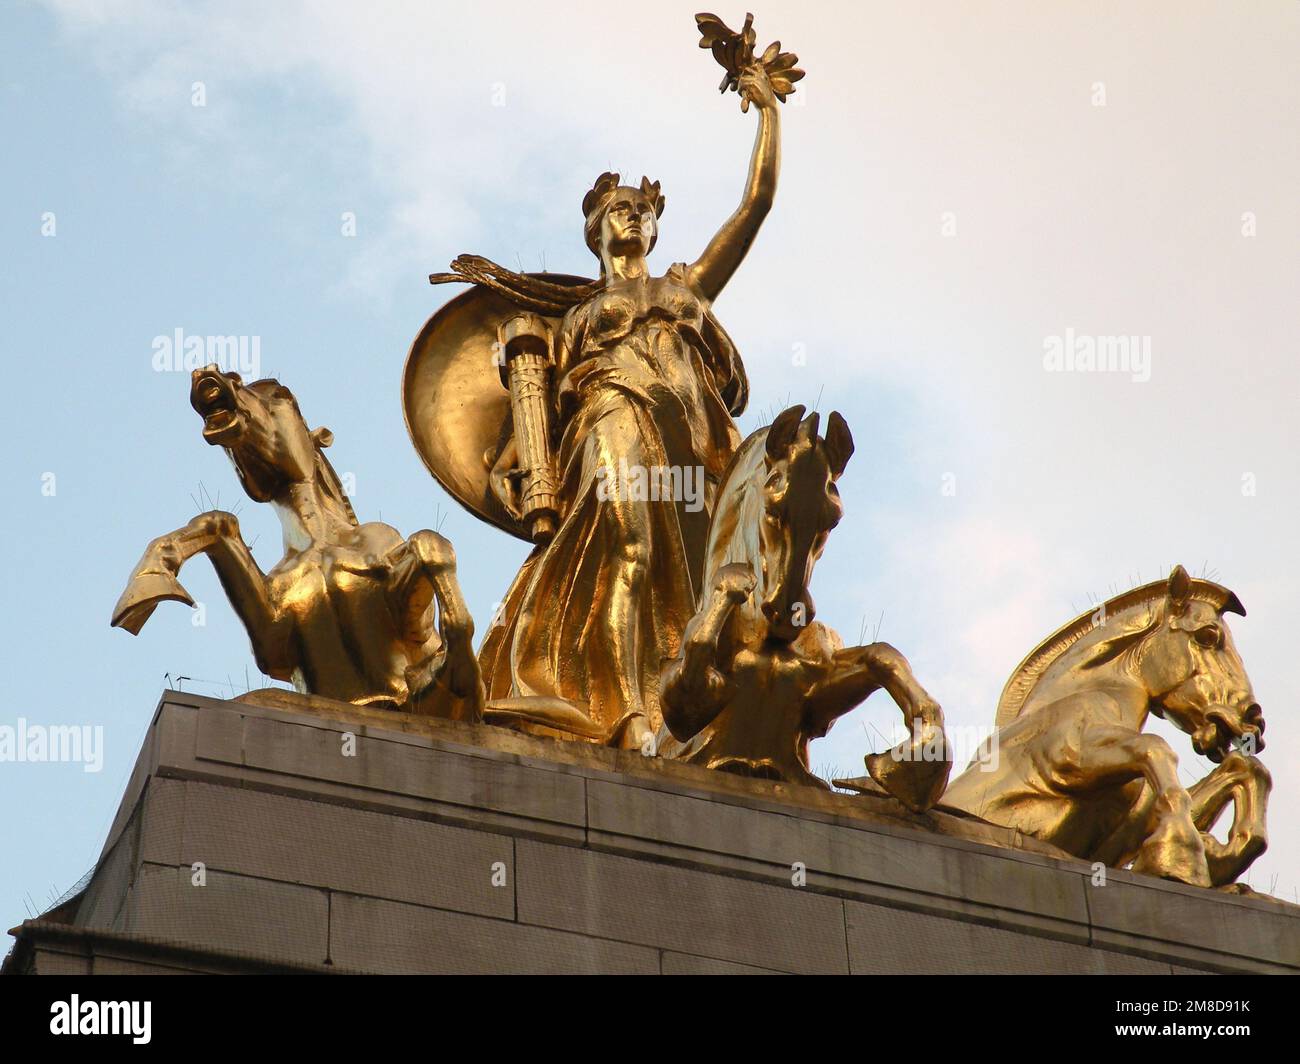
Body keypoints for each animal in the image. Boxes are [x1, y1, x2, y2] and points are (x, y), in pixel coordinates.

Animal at [111, 366, 486, 723]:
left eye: (280, 394)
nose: (210, 374)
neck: (320, 541)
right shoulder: (274, 641)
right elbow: (217, 521)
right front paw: (147, 584)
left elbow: (427, 545)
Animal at [655, 403, 951, 806]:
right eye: (772, 509)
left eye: (833, 519)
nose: (787, 614)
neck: (766, 637)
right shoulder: (680, 718)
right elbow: (697, 662)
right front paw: (735, 579)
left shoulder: (815, 708)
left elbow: (882, 654)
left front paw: (916, 759)